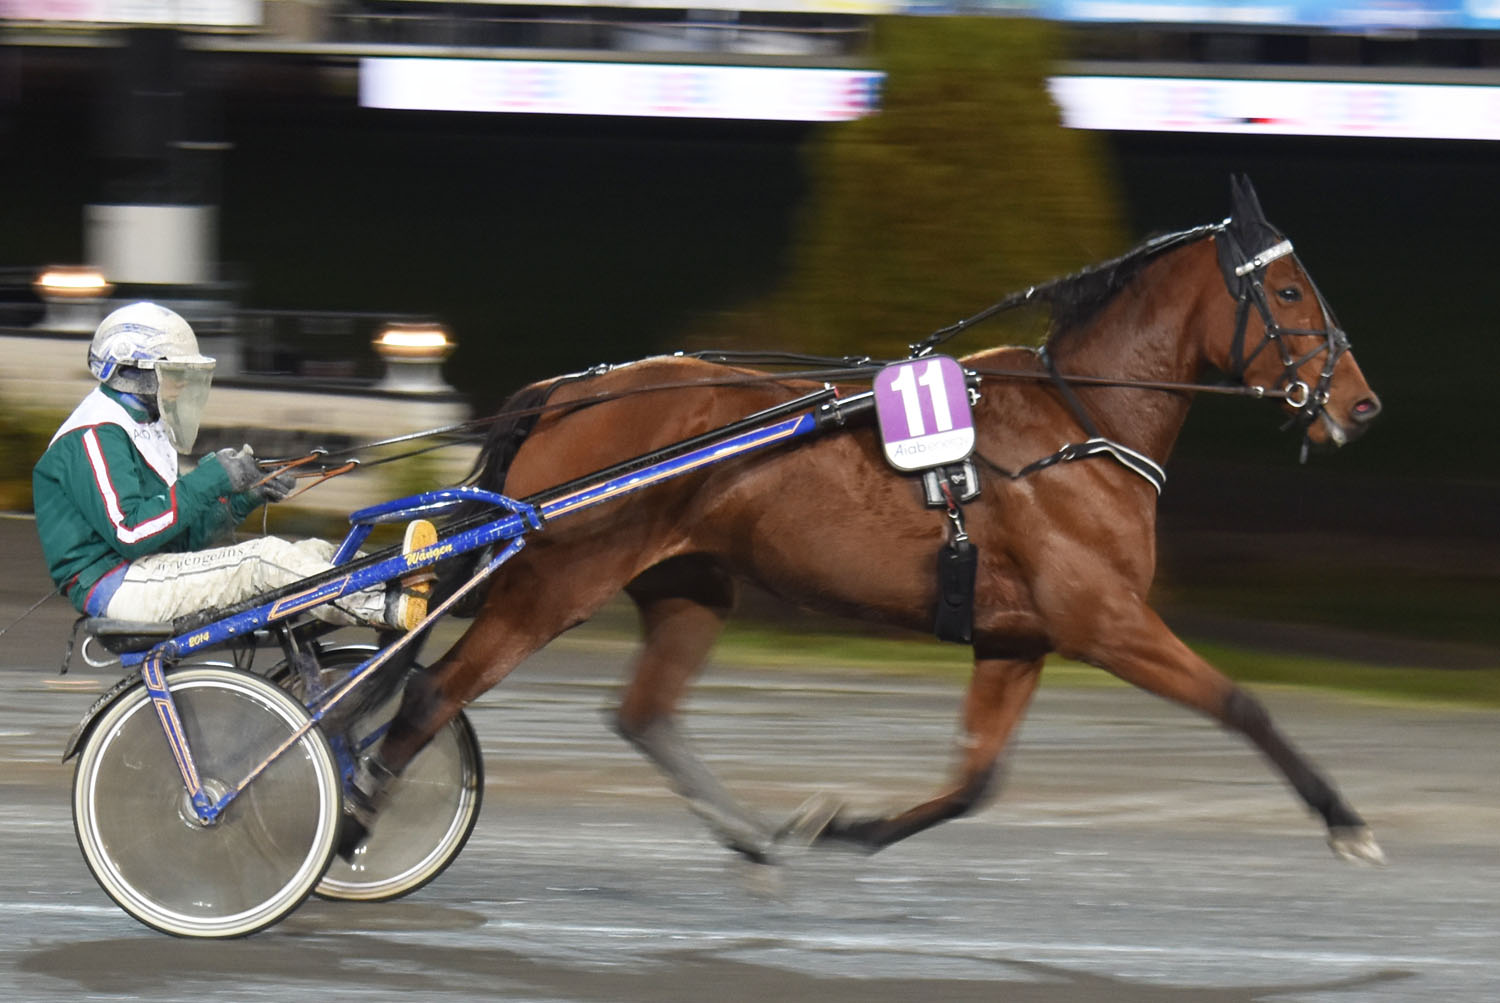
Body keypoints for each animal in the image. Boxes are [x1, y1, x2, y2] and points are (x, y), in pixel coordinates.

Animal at [351, 177, 1380, 869]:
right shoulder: (1105, 618)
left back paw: (756, 840)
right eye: (1292, 293)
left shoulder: (1018, 636)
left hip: (689, 583)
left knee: (642, 712)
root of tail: (569, 391)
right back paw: (355, 819)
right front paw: (1346, 822)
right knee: (431, 694)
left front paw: (844, 826)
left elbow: (975, 781)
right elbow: (1241, 702)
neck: (1081, 421)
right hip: (555, 580)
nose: (1361, 405)